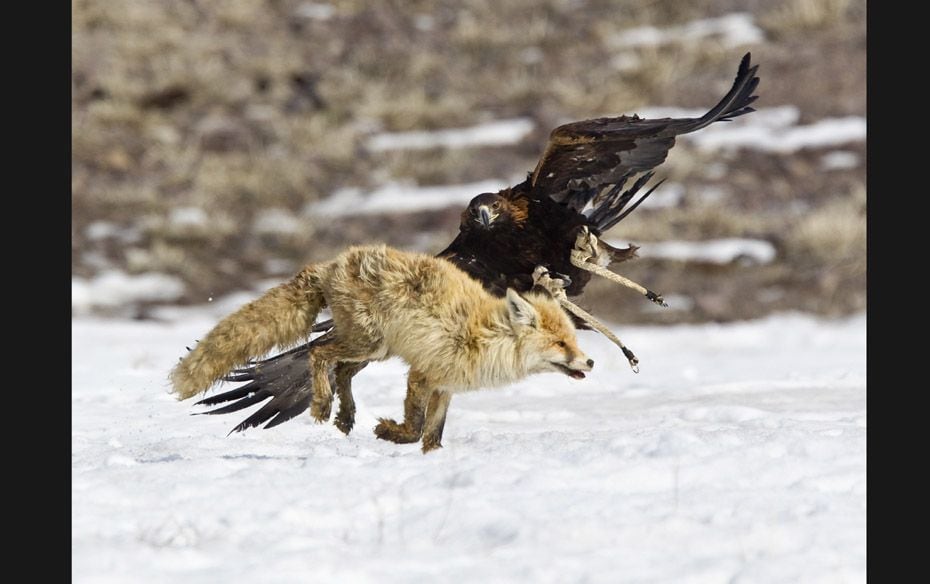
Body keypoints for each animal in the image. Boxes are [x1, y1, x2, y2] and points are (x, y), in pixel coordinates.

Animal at [172, 244, 596, 454]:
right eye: (560, 343)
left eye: (573, 340)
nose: (590, 360)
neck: (482, 336)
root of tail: (331, 264)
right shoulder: (422, 374)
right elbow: (414, 427)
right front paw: (389, 433)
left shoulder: (445, 386)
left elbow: (432, 436)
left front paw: (432, 460)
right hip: (369, 342)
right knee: (319, 355)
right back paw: (323, 405)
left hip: (374, 350)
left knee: (340, 369)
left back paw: (345, 416)